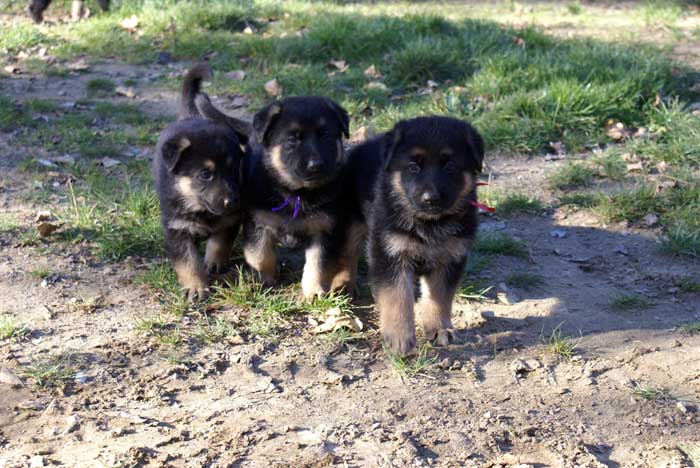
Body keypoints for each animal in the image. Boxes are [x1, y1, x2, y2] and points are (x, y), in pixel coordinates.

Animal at [154, 64, 247, 300]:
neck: (201, 210)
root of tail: (191, 115)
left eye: (235, 170)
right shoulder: (176, 228)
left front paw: (214, 263)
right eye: (205, 174)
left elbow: (220, 243)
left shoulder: (230, 219)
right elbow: (188, 262)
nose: (232, 201)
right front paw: (196, 287)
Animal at [196, 94, 348, 298]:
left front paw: (314, 292)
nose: (315, 165)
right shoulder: (258, 222)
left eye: (326, 136)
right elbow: (260, 255)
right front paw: (265, 280)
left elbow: (318, 264)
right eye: (292, 139)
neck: (297, 193)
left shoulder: (324, 229)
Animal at [338, 116, 482, 354]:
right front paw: (399, 337)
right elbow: (397, 297)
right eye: (413, 167)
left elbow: (439, 298)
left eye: (450, 166)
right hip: (352, 222)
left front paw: (440, 328)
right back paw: (347, 287)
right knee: (348, 253)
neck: (429, 223)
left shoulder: (450, 257)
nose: (430, 198)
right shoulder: (389, 253)